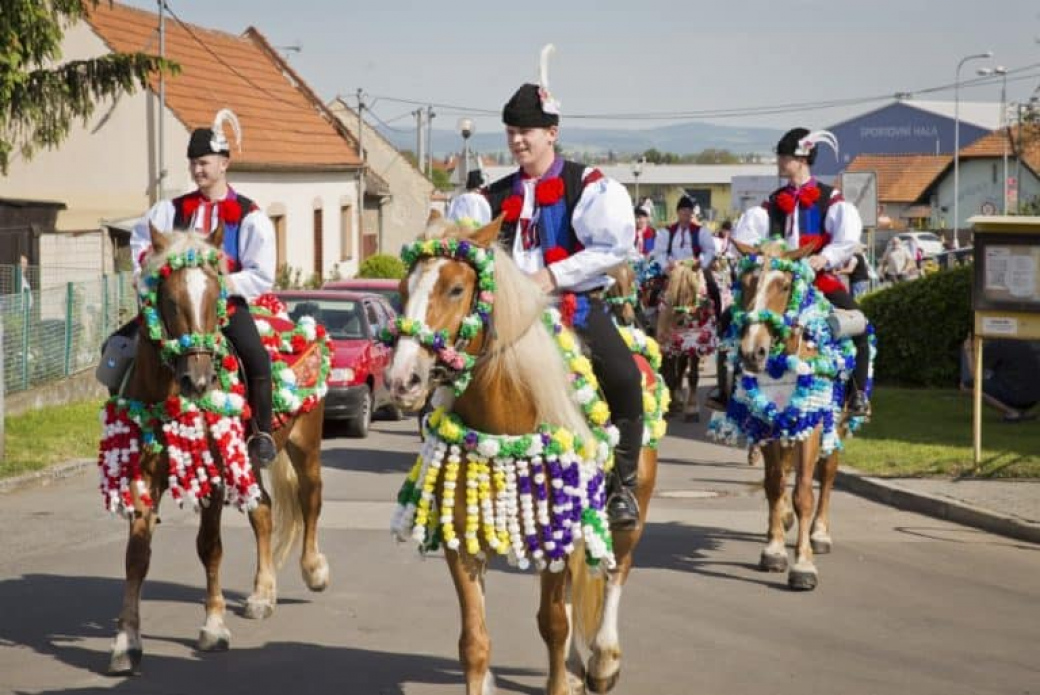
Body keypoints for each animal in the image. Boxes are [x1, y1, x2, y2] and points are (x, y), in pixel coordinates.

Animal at [99, 226, 328, 674]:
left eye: (214, 295)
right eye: (170, 300)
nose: (199, 380)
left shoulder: (215, 478)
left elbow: (210, 548)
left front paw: (214, 627)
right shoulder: (144, 478)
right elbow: (136, 556)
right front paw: (126, 642)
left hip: (304, 445)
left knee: (310, 498)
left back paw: (314, 571)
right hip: (250, 460)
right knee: (263, 509)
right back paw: (262, 594)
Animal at [384, 214, 665, 690]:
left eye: (456, 289)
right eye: (404, 289)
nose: (403, 380)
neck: (505, 421)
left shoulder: (557, 539)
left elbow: (553, 625)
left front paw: (566, 681)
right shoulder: (464, 544)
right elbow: (474, 643)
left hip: (633, 510)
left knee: (616, 572)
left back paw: (604, 661)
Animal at [657, 260, 715, 424]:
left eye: (693, 289)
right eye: (675, 292)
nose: (683, 321)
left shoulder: (696, 344)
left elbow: (693, 375)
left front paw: (692, 408)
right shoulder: (668, 345)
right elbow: (669, 374)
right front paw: (671, 405)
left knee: (682, 366)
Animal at [711, 240, 873, 590]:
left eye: (784, 285)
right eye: (746, 283)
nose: (752, 352)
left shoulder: (811, 427)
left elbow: (804, 493)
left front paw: (803, 565)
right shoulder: (768, 424)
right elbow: (774, 484)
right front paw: (773, 550)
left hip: (835, 423)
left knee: (827, 474)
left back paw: (820, 533)